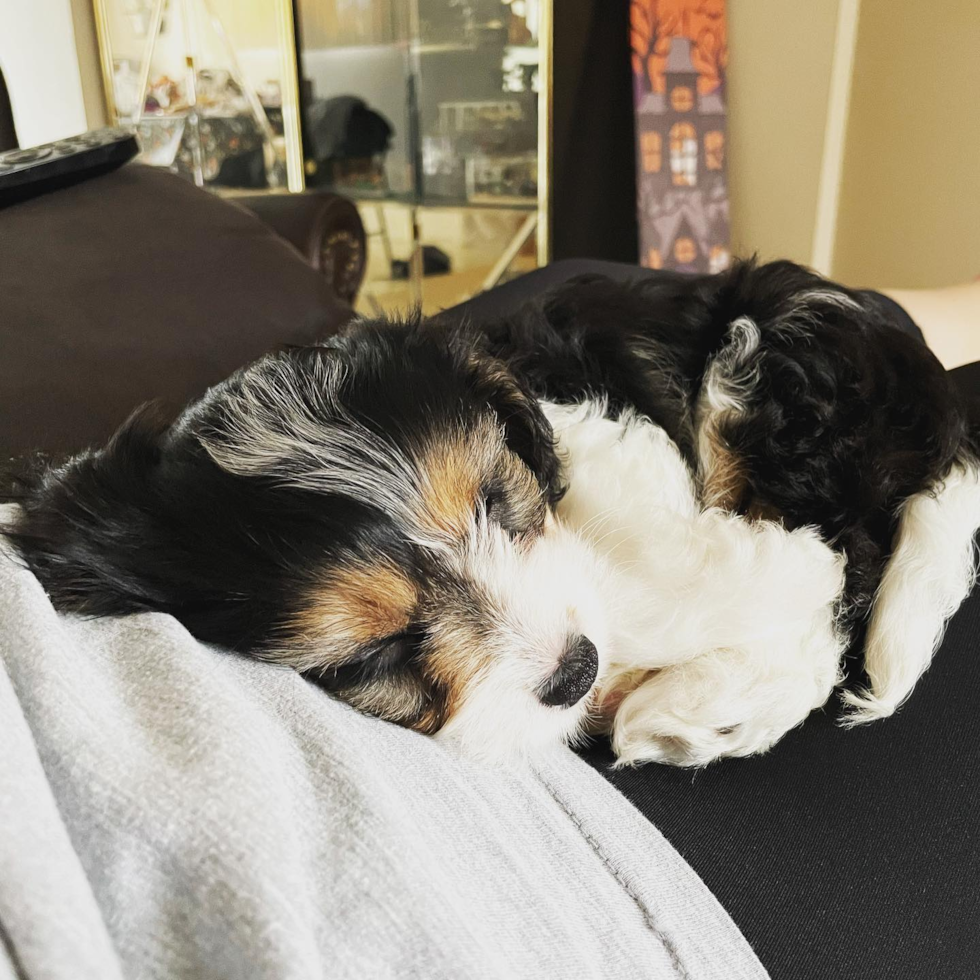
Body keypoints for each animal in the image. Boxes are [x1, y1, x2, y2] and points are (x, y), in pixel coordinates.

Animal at [7, 260, 980, 764]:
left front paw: (770, 586)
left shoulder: (591, 429)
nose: (575, 671)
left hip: (767, 369)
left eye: (495, 496)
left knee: (849, 567)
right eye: (374, 654)